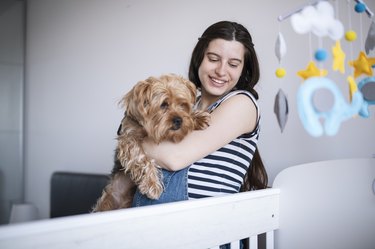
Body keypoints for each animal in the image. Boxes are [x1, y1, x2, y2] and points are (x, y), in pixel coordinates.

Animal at [93, 74, 212, 212]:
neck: (147, 128)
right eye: (163, 105)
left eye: (183, 104)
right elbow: (141, 158)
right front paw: (152, 185)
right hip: (107, 202)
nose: (179, 120)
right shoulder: (128, 140)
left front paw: (197, 118)